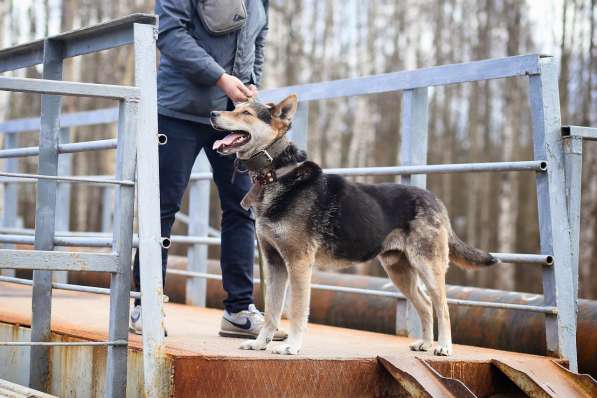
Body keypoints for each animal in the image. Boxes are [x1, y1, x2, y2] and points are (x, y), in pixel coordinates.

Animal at [210, 95, 498, 356]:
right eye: (235, 108)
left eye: (246, 113)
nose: (212, 113)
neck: (276, 174)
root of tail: (435, 200)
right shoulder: (275, 263)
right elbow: (272, 310)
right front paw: (260, 343)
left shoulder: (299, 263)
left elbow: (297, 310)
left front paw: (291, 346)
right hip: (399, 270)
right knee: (426, 305)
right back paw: (425, 343)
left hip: (428, 266)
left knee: (443, 307)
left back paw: (444, 347)